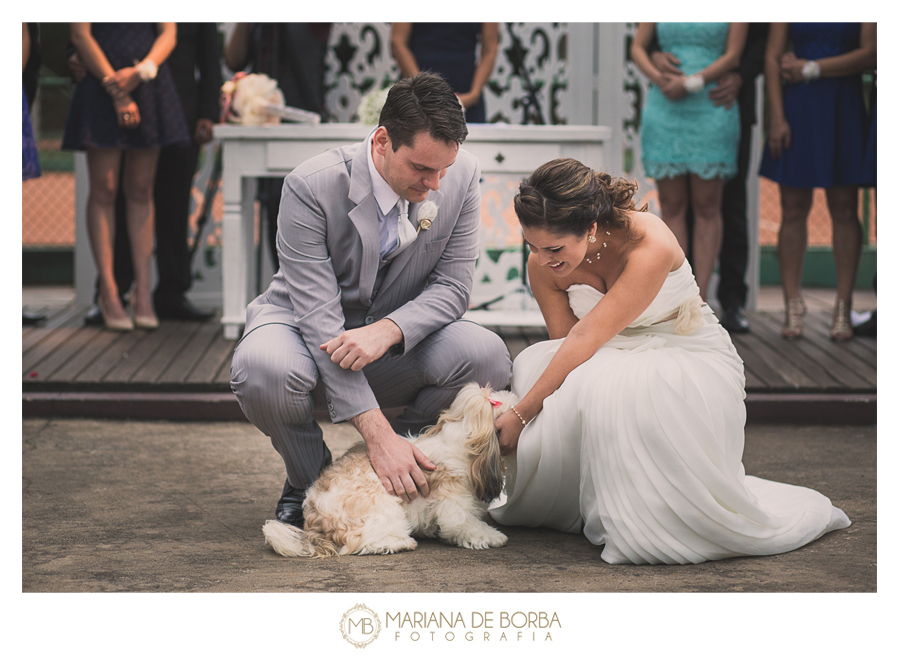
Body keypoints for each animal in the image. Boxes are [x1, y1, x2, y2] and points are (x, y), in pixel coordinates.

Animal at [262, 382, 512, 556]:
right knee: (363, 542)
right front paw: (493, 536)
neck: (463, 440)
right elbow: (466, 525)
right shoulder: (455, 504)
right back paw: (400, 542)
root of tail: (315, 518)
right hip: (383, 507)